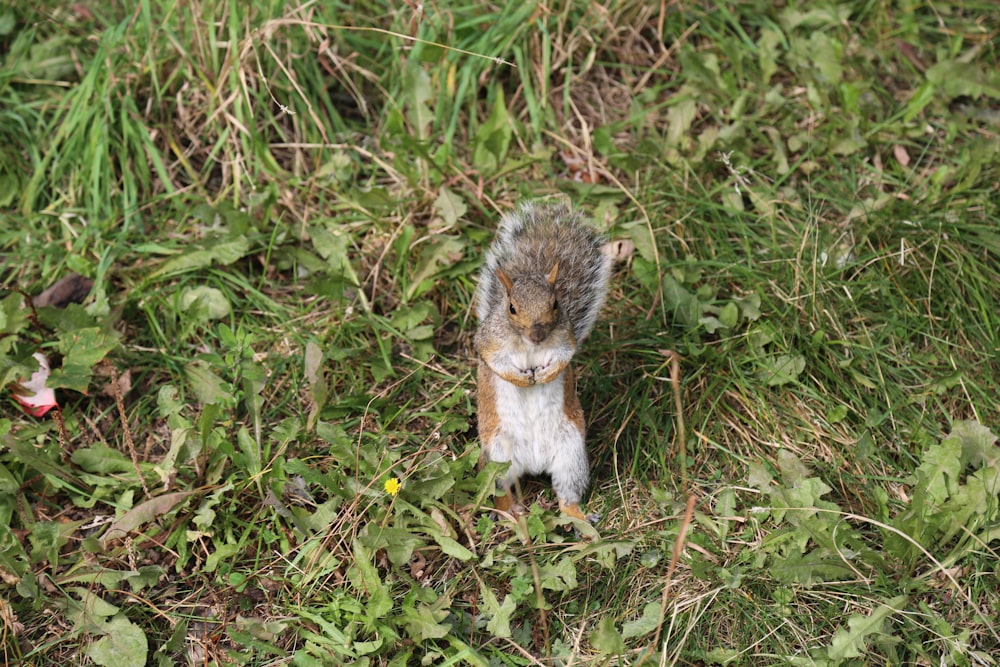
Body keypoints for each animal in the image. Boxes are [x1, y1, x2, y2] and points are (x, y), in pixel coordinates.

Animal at [474, 201, 612, 524]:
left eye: (555, 303)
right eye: (511, 308)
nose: (537, 333)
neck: (530, 345)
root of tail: (534, 463)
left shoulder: (565, 339)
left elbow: (564, 357)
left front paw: (548, 374)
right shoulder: (489, 342)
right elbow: (496, 363)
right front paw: (522, 378)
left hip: (571, 453)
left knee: (566, 491)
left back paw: (576, 516)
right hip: (499, 455)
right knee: (502, 489)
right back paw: (510, 513)